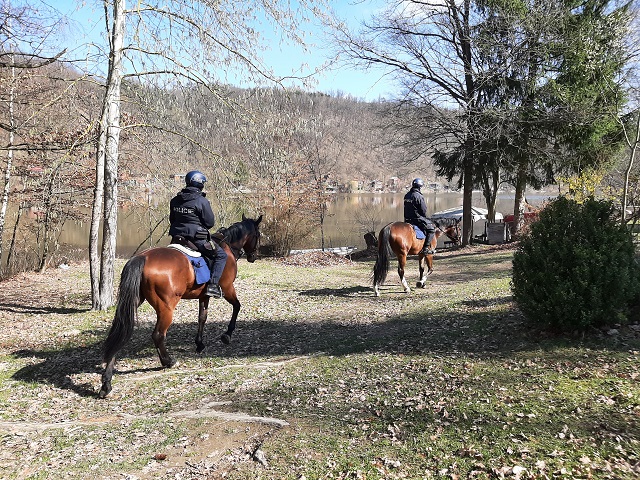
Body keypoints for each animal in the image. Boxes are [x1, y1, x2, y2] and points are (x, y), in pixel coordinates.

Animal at [98, 214, 262, 398]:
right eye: (258, 234)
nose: (253, 256)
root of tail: (143, 257)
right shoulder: (227, 289)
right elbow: (237, 307)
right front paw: (227, 334)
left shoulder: (204, 296)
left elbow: (202, 318)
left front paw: (199, 343)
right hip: (166, 308)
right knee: (158, 335)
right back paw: (168, 361)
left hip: (134, 303)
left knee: (119, 333)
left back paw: (106, 383)